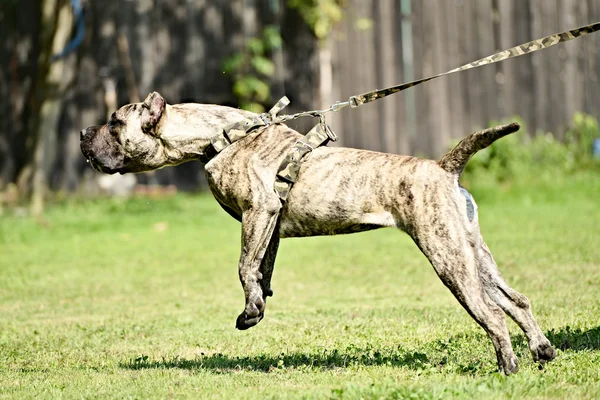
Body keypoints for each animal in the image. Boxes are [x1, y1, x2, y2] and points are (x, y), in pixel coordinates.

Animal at [82, 91, 556, 376]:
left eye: (114, 122)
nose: (84, 132)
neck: (219, 136)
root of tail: (444, 168)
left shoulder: (259, 210)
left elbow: (243, 265)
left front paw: (250, 308)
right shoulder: (268, 222)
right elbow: (261, 266)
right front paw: (256, 307)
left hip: (447, 257)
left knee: (492, 314)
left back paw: (508, 365)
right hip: (473, 252)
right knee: (515, 300)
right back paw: (542, 350)